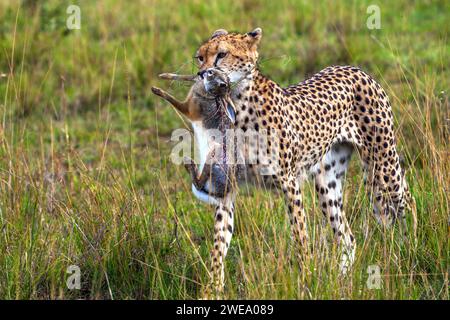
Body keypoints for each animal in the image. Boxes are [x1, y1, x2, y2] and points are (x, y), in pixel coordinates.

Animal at [163, 27, 416, 298]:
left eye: (222, 54)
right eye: (200, 57)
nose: (202, 74)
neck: (236, 104)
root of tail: (354, 68)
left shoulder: (289, 183)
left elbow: (300, 235)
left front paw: (307, 280)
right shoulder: (226, 186)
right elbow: (219, 243)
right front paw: (213, 289)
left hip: (383, 165)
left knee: (407, 199)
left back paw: (413, 247)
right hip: (327, 183)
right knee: (347, 237)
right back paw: (342, 280)